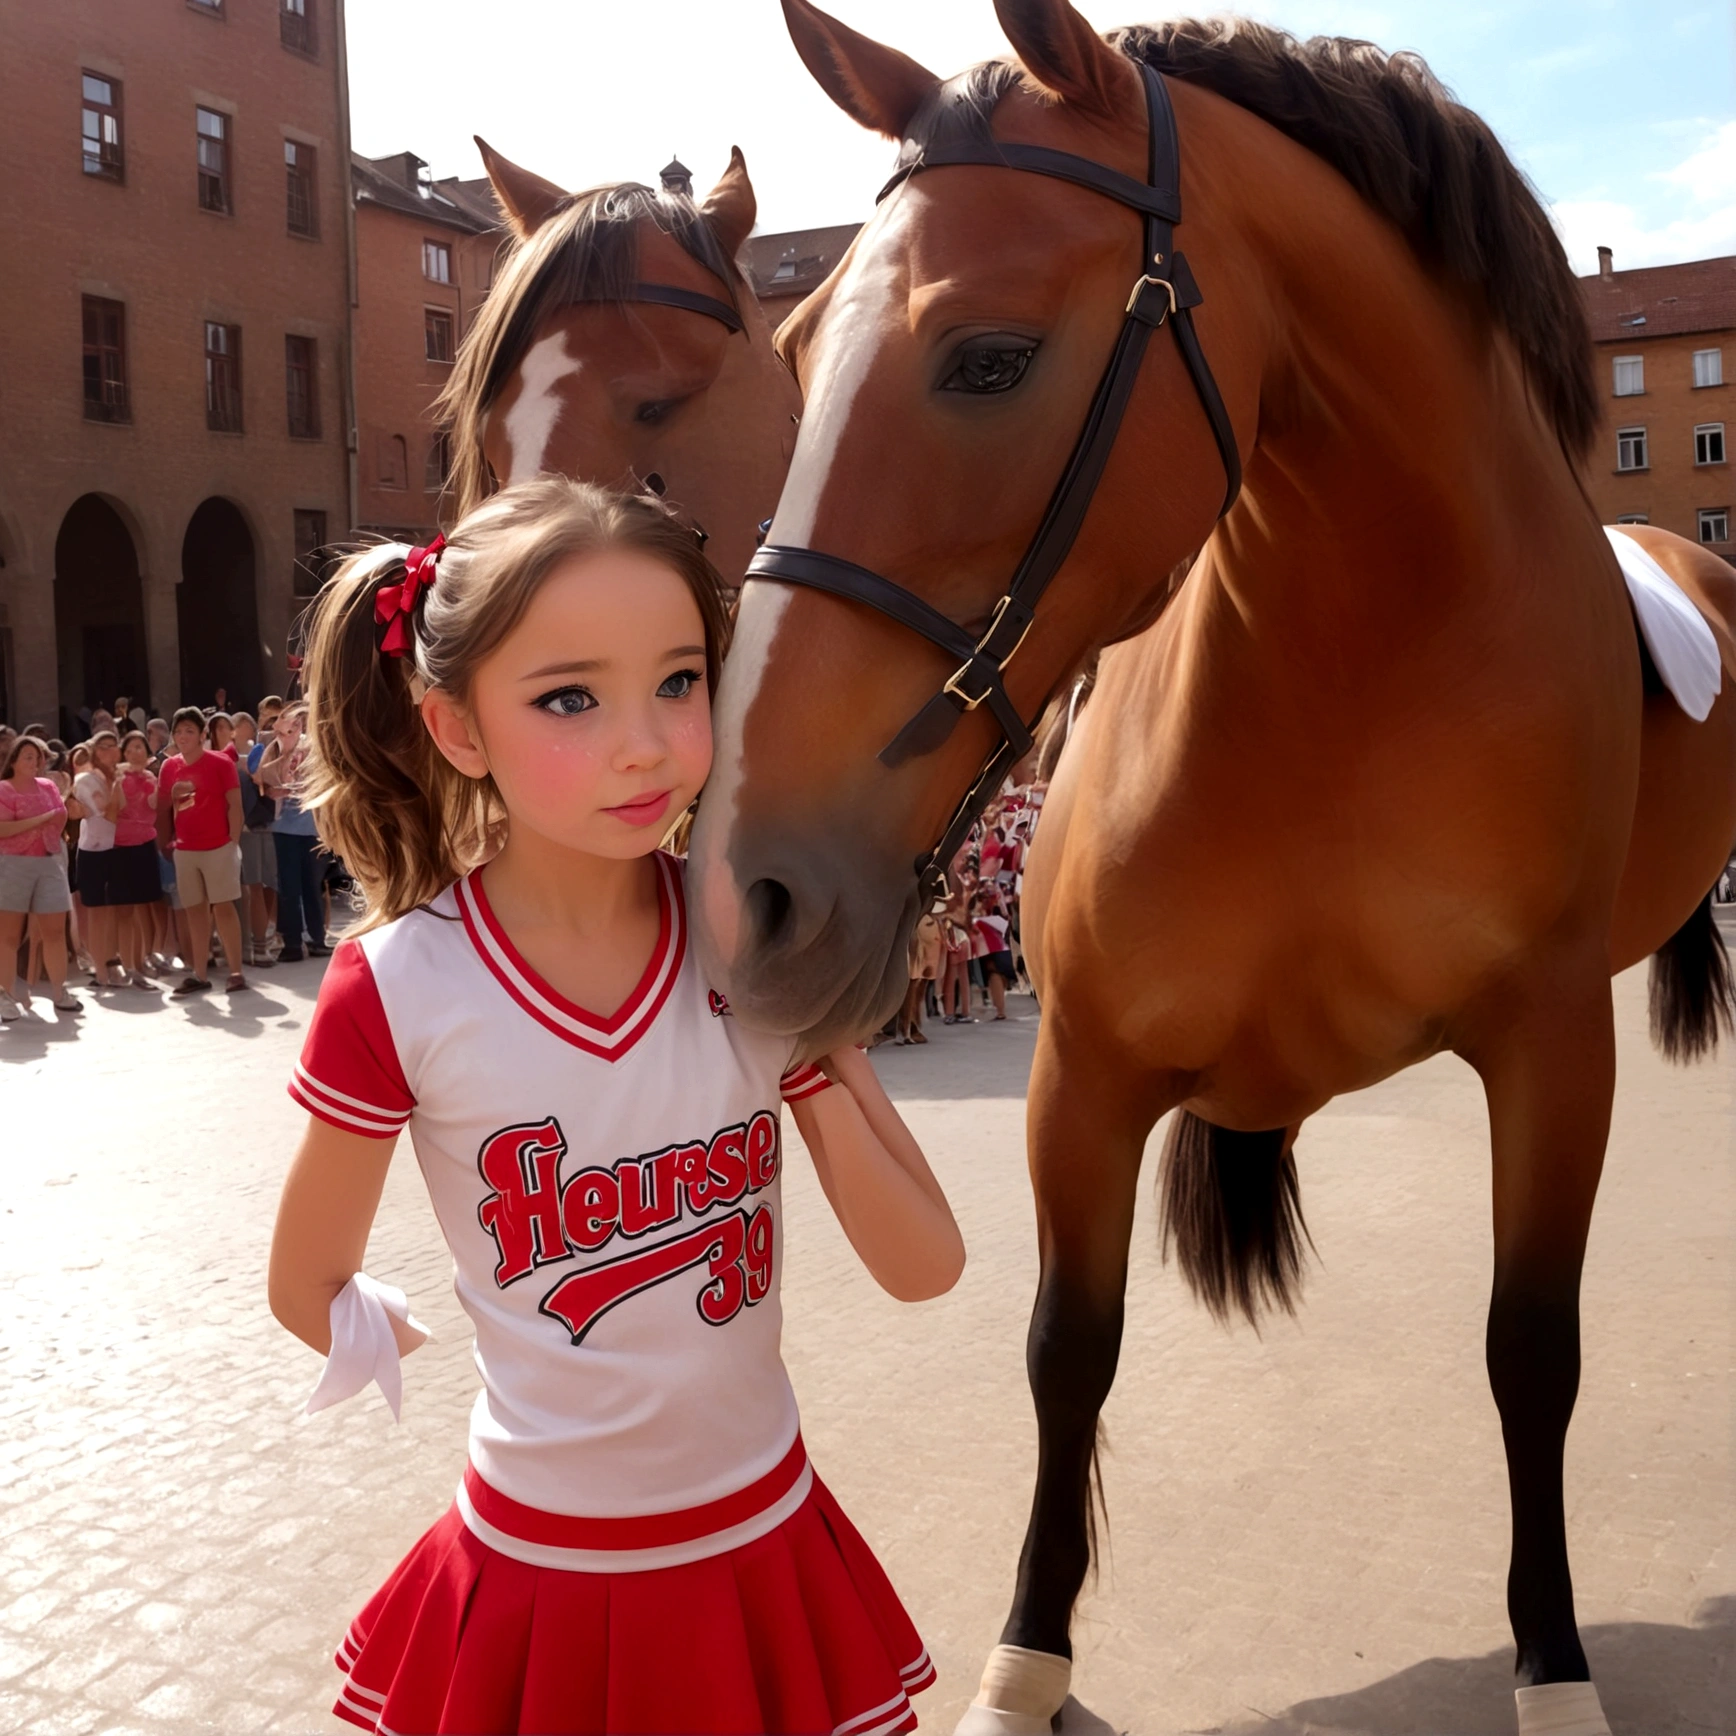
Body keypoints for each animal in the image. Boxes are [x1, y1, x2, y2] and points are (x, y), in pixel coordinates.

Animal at [690, 6, 1736, 1729]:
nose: (740, 888)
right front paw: (1026, 1655)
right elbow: (1068, 1350)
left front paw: (1555, 1663)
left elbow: (1533, 1352)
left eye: (989, 356)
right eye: (793, 353)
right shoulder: (1085, 1073)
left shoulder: (1550, 1048)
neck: (1347, 679)